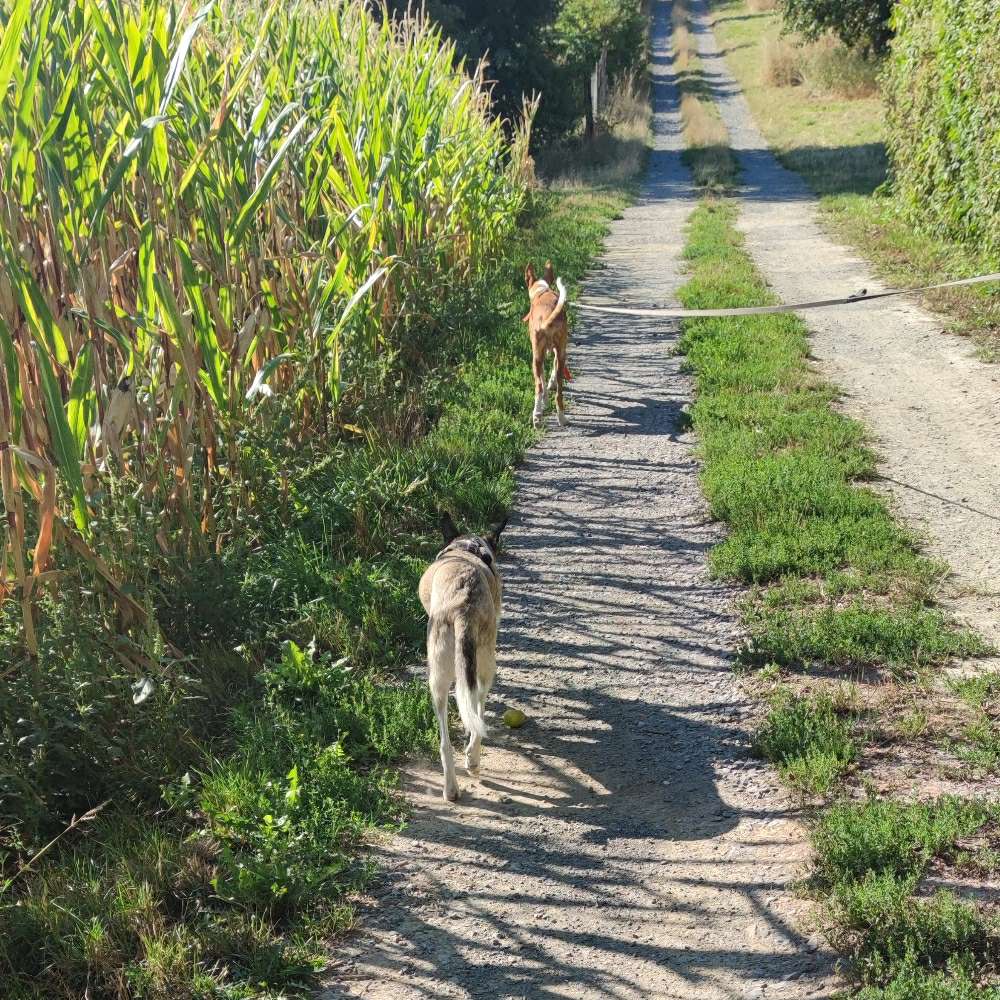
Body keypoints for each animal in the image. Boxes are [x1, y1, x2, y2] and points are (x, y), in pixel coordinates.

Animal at [418, 512, 508, 800]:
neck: (468, 547)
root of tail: (463, 608)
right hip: (483, 666)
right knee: (477, 710)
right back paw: (471, 760)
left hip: (439, 676)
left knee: (447, 740)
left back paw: (454, 783)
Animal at [524, 260, 572, 428]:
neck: (542, 291)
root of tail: (548, 316)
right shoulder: (557, 352)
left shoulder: (540, 354)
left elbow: (543, 381)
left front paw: (544, 401)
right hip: (561, 351)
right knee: (559, 392)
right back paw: (562, 418)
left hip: (536, 358)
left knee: (538, 386)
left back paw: (537, 416)